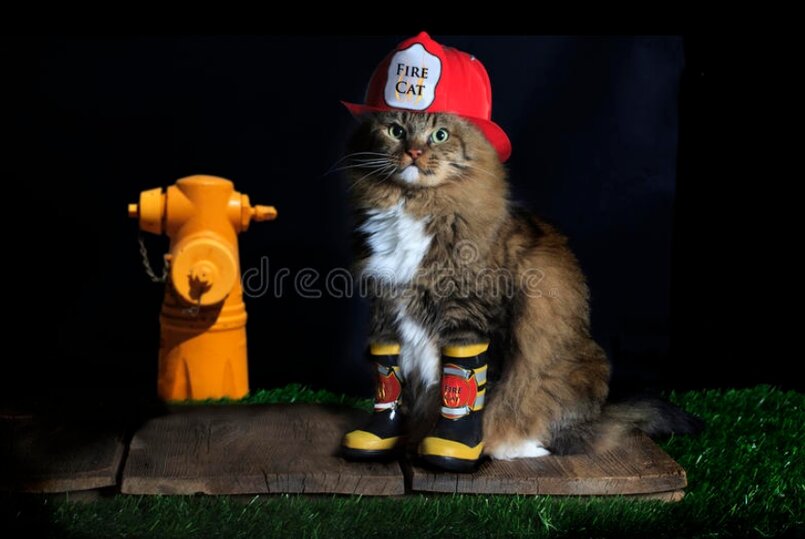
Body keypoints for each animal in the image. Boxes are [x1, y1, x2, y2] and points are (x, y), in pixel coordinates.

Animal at [339, 109, 700, 472]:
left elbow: (477, 395)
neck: (414, 205)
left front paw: (460, 447)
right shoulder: (385, 310)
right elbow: (391, 383)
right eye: (396, 131)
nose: (413, 152)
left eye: (440, 135)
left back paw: (518, 447)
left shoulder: (474, 321)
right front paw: (389, 437)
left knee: (550, 429)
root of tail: (596, 418)